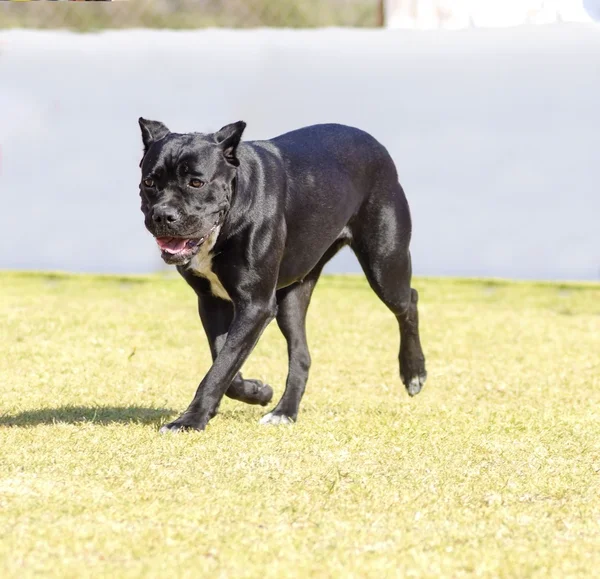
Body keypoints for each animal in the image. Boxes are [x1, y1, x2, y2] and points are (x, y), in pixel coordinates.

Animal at [138, 120, 424, 432]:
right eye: (149, 183)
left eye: (197, 183)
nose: (163, 216)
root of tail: (374, 143)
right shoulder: (212, 301)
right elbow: (225, 363)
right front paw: (257, 391)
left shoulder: (256, 306)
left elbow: (222, 366)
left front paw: (190, 420)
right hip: (292, 298)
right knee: (301, 354)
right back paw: (284, 412)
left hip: (385, 265)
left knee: (409, 301)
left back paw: (414, 373)